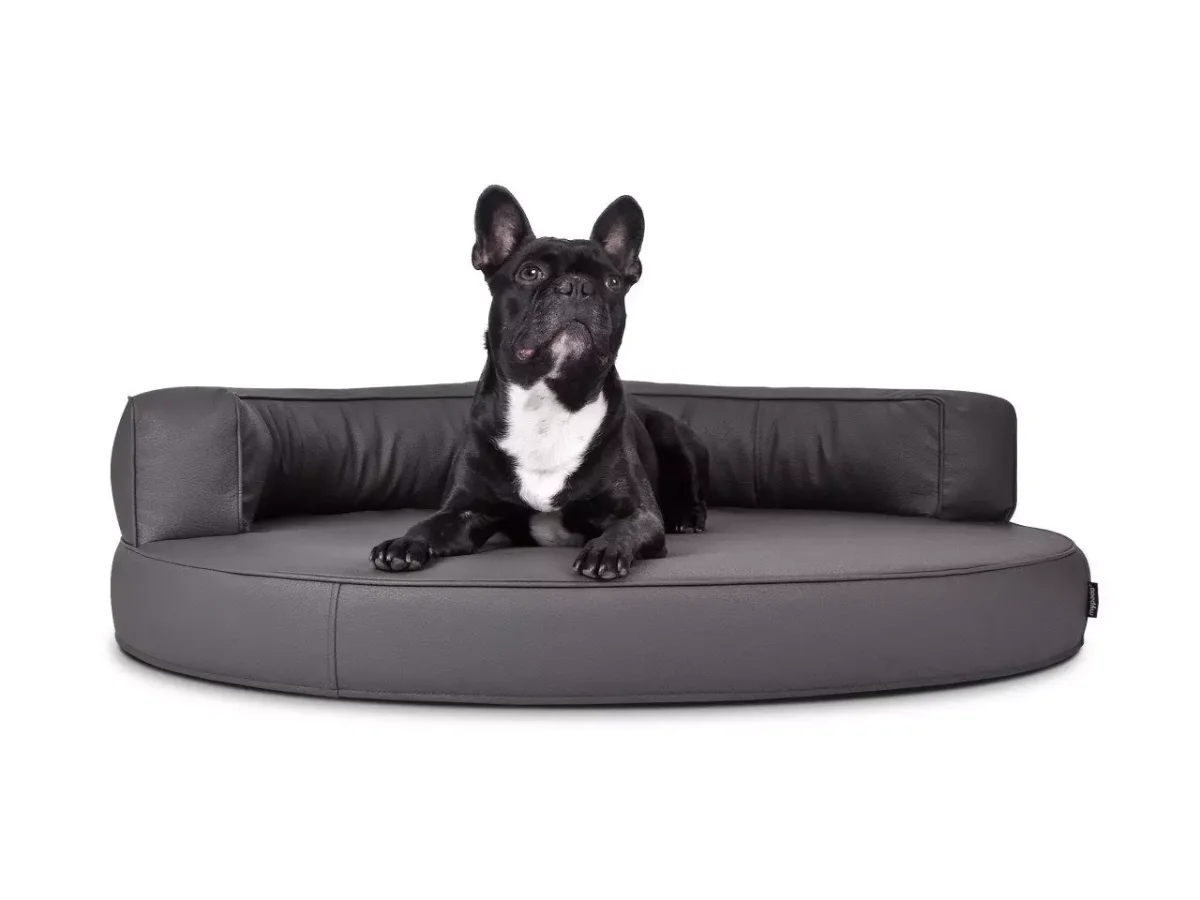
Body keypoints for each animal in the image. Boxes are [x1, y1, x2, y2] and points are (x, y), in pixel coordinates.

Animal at [370, 186, 708, 580]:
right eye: (530, 272)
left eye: (612, 283)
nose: (578, 286)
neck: (549, 400)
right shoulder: (465, 511)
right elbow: (429, 525)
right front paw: (404, 543)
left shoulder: (640, 514)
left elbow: (626, 528)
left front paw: (605, 550)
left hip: (677, 435)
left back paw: (688, 517)